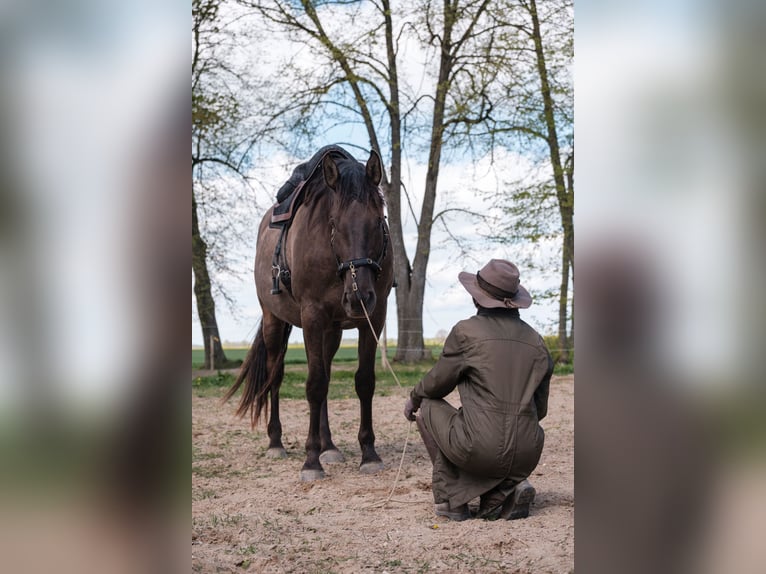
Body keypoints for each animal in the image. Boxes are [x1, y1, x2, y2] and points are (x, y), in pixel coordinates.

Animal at [224, 147, 394, 481]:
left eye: (377, 221)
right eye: (334, 224)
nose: (358, 297)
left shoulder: (374, 317)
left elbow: (363, 381)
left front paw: (368, 453)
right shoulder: (313, 317)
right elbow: (314, 385)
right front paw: (311, 460)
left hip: (334, 331)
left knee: (326, 373)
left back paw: (329, 446)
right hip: (274, 322)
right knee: (275, 377)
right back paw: (276, 442)